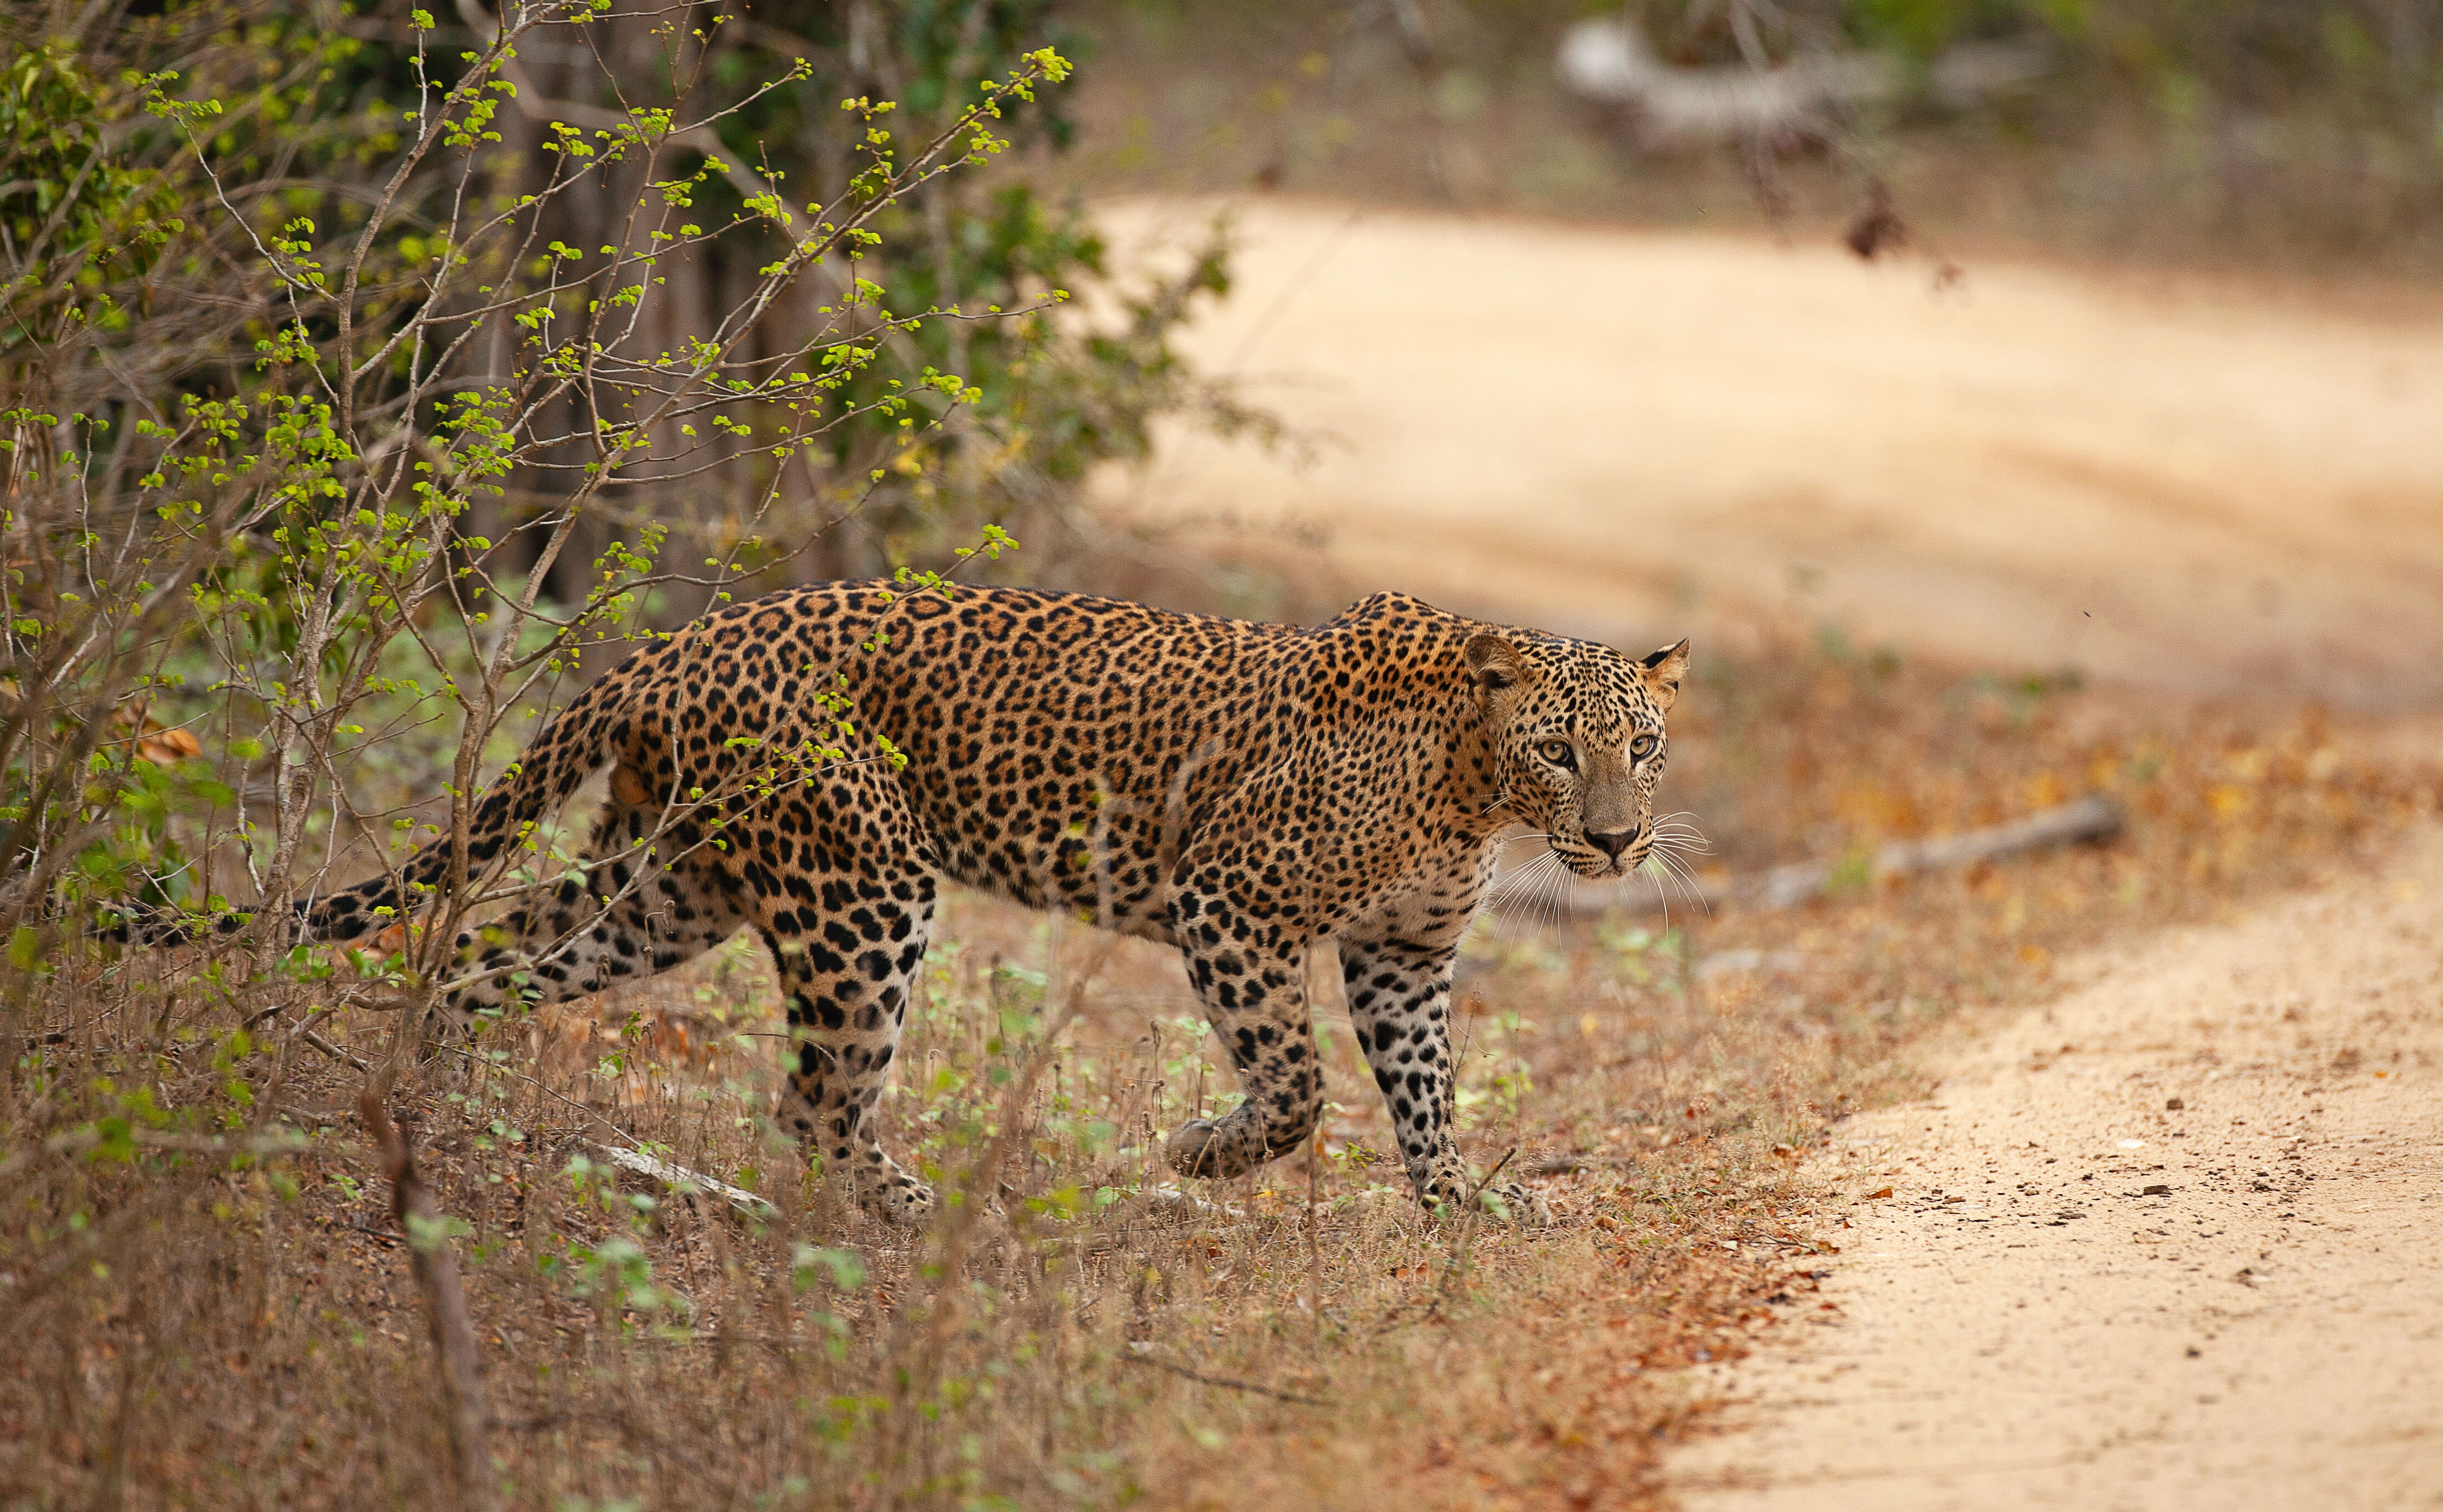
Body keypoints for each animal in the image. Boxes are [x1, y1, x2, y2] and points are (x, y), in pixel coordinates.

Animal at [244, 582, 1688, 1226]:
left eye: (1644, 747)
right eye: (1561, 750)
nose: (1618, 841)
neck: (1474, 789)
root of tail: (680, 643)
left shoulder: (1401, 953)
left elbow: (1424, 1086)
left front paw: (1461, 1207)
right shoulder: (1229, 902)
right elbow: (1295, 1086)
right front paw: (1199, 1155)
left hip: (670, 884)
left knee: (477, 964)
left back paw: (430, 1111)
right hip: (863, 886)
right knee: (814, 1101)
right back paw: (925, 1212)